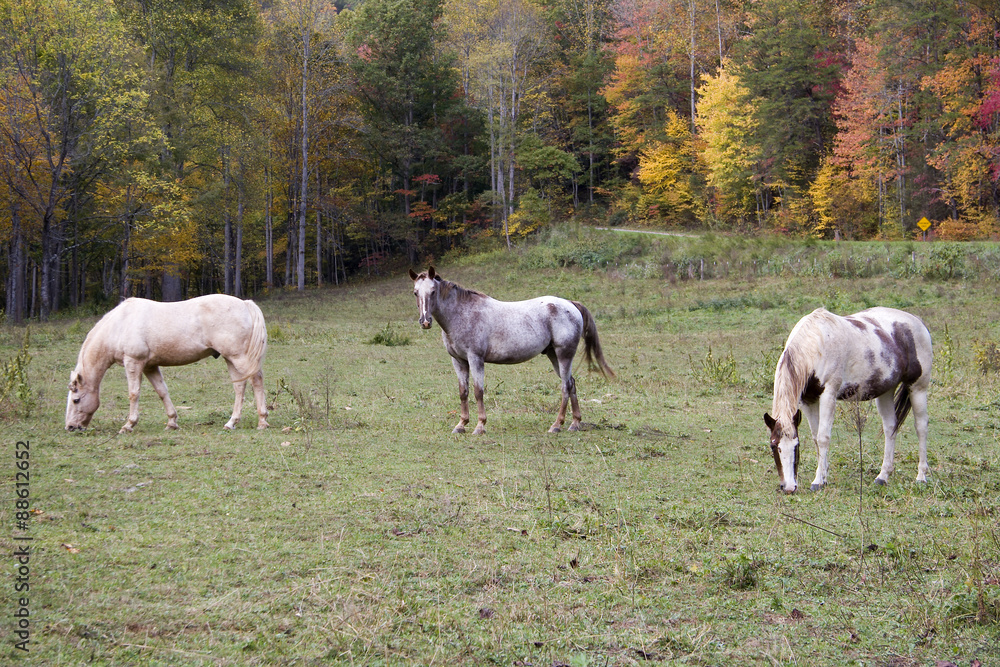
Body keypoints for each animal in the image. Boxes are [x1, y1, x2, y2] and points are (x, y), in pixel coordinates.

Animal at [65, 294, 270, 434]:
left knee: (256, 381)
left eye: (76, 400)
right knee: (240, 387)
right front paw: (172, 422)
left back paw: (262, 421)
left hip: (239, 358)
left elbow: (133, 393)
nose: (70, 427)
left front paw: (128, 425)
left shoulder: (133, 362)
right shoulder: (150, 366)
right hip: (230, 358)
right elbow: (162, 391)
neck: (120, 324)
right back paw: (231, 422)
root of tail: (245, 304)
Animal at [409, 266, 614, 435]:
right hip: (553, 355)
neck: (462, 314)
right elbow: (463, 392)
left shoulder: (475, 359)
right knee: (571, 383)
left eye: (433, 291)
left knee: (565, 386)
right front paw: (461, 425)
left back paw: (556, 425)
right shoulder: (458, 360)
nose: (425, 321)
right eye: (415, 292)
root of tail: (570, 304)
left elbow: (478, 391)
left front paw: (480, 426)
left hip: (564, 355)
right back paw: (575, 423)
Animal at [763, 307, 932, 494]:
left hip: (918, 388)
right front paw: (823, 476)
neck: (816, 342)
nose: (788, 487)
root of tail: (917, 322)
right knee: (890, 428)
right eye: (773, 446)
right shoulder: (808, 401)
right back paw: (883, 476)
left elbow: (823, 437)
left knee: (921, 427)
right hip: (886, 391)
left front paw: (817, 481)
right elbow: (815, 438)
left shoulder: (828, 395)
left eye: (796, 446)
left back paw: (921, 477)